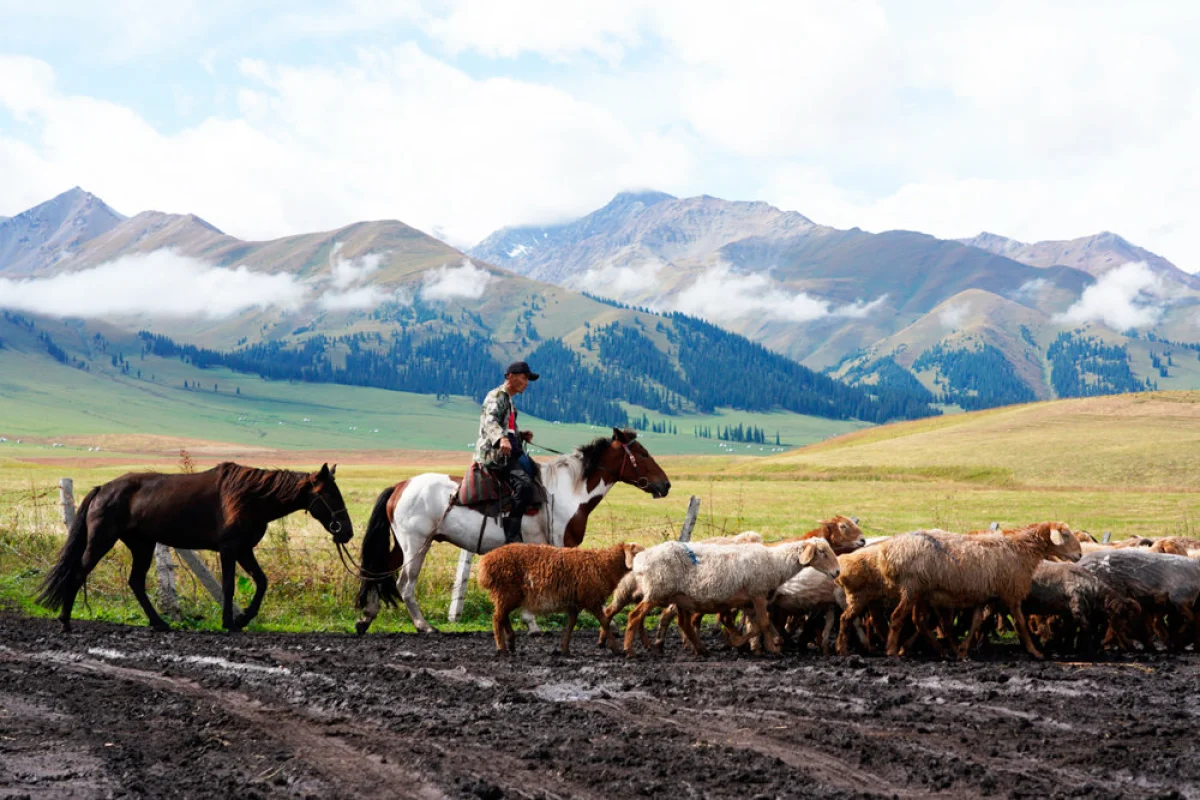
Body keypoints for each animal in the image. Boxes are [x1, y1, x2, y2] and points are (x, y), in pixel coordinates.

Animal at [39, 462, 350, 633]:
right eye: (330, 494)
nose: (347, 531)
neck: (250, 497)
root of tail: (103, 489)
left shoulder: (244, 550)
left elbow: (262, 582)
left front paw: (243, 617)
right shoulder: (230, 548)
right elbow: (229, 586)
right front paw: (231, 622)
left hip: (142, 545)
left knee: (136, 582)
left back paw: (159, 623)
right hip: (102, 541)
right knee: (79, 574)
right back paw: (65, 621)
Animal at [355, 429, 676, 633]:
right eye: (643, 453)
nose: (666, 484)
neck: (568, 491)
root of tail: (401, 485)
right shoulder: (558, 545)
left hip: (403, 546)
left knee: (378, 572)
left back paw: (366, 618)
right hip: (417, 544)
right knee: (405, 584)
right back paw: (424, 626)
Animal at [480, 542, 648, 652]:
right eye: (637, 553)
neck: (603, 565)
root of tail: (485, 564)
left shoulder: (575, 603)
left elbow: (570, 625)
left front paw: (564, 649)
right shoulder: (591, 599)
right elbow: (605, 622)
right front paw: (615, 648)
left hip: (507, 595)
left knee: (502, 616)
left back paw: (511, 642)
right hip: (506, 592)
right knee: (497, 618)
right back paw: (502, 648)